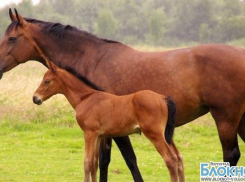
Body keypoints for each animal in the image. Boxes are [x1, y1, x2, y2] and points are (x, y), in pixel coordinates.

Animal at [33, 61, 185, 182]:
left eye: (47, 81)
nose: (35, 98)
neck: (86, 98)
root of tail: (163, 98)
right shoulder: (98, 136)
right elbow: (94, 164)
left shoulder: (89, 133)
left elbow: (87, 163)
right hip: (166, 135)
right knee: (179, 158)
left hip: (155, 134)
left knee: (170, 159)